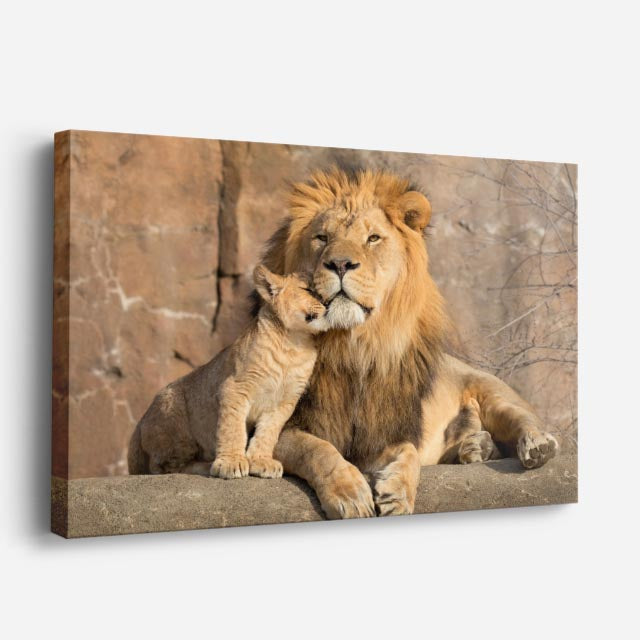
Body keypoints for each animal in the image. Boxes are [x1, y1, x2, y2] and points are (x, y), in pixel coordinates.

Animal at [128, 167, 558, 520]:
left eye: (373, 238)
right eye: (322, 238)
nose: (339, 264)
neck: (355, 348)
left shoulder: (383, 430)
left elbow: (408, 454)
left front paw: (398, 492)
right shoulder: (291, 425)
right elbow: (318, 450)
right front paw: (350, 494)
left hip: (490, 388)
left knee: (520, 417)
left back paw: (531, 446)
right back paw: (475, 447)